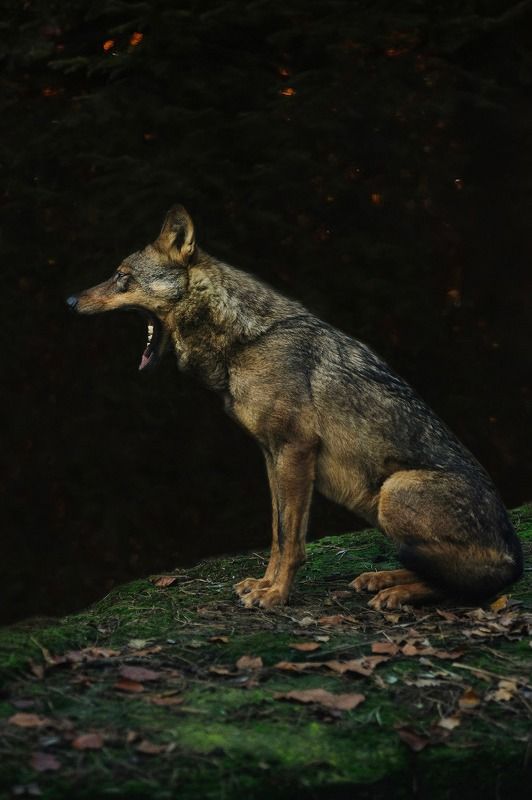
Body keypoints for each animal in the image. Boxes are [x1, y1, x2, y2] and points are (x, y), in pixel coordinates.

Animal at [67, 205, 523, 610]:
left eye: (121, 276)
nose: (70, 300)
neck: (246, 340)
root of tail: (515, 557)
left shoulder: (295, 450)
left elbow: (290, 541)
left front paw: (276, 596)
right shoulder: (272, 456)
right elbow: (278, 532)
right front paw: (263, 584)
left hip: (394, 491)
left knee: (465, 585)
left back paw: (397, 592)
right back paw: (382, 579)